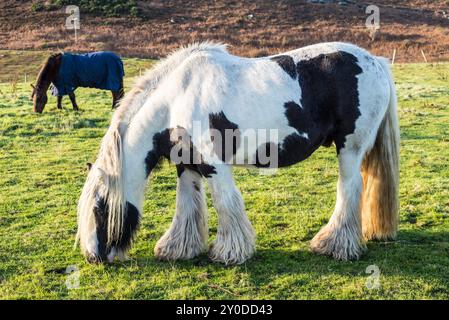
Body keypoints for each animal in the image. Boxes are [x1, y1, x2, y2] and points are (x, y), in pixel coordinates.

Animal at [77, 42, 400, 264]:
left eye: (99, 208)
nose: (93, 257)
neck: (177, 98)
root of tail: (376, 62)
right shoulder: (187, 166)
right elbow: (187, 205)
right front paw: (178, 248)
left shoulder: (215, 166)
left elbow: (225, 203)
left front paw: (230, 252)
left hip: (350, 149)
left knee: (350, 189)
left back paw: (334, 245)